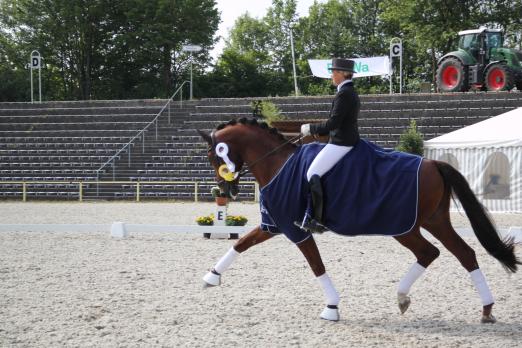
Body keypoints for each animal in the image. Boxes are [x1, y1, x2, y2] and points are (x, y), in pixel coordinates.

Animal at [197, 117, 516, 324]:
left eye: (215, 155)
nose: (225, 191)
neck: (277, 164)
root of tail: (433, 163)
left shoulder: (295, 229)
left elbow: (316, 265)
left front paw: (331, 307)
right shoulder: (274, 225)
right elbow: (242, 243)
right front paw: (210, 277)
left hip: (403, 226)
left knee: (431, 252)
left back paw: (405, 297)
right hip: (434, 221)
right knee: (462, 253)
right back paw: (484, 309)